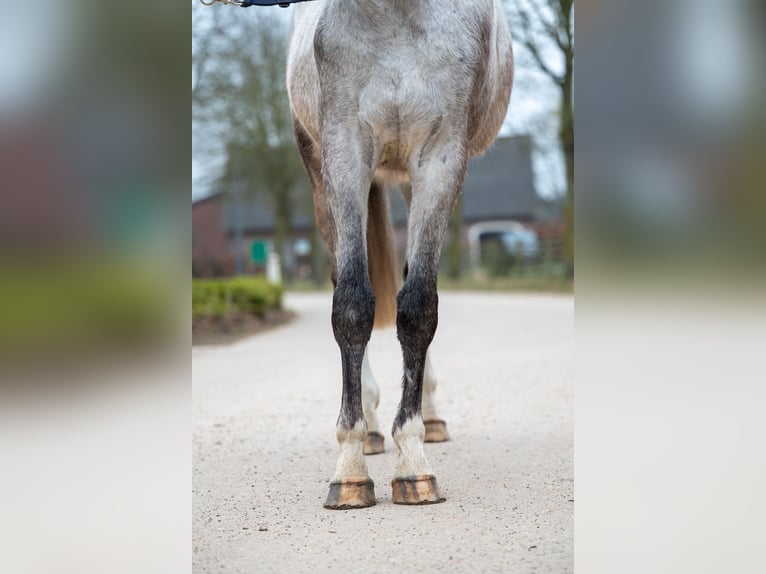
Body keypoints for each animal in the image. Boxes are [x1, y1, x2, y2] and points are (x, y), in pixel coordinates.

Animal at [290, 1, 516, 512]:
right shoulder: (343, 153)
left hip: (418, 180)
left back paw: (430, 421)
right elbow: (352, 304)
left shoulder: (441, 158)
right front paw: (350, 469)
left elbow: (418, 310)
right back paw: (375, 430)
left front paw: (413, 464)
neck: (394, 15)